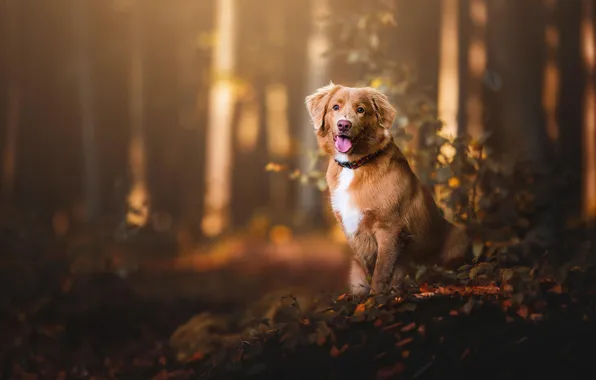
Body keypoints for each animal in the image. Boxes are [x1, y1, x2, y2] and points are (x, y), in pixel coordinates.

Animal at [304, 82, 468, 296]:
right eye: (335, 107)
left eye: (361, 110)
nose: (344, 125)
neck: (355, 165)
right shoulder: (351, 231)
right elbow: (367, 269)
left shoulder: (389, 228)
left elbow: (381, 272)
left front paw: (376, 298)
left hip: (459, 237)